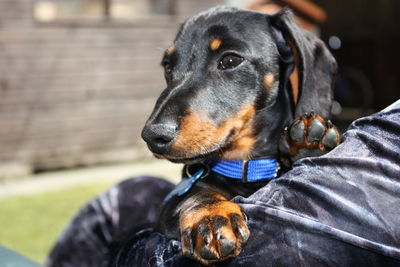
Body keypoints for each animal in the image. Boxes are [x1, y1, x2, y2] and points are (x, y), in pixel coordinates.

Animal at [142, 5, 340, 266]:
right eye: (168, 65)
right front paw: (211, 217)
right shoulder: (168, 206)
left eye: (230, 60)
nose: (153, 136)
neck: (246, 166)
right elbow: (195, 193)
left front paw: (307, 144)